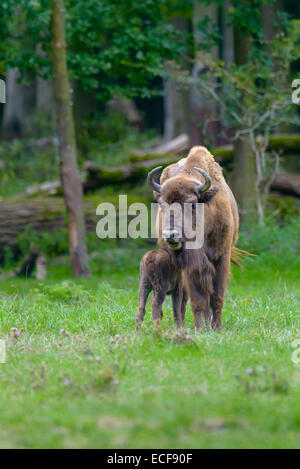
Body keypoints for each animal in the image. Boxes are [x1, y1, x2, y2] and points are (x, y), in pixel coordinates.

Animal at [148, 145, 239, 330]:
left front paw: (217, 328)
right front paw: (199, 329)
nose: (171, 235)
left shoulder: (222, 258)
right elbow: (197, 299)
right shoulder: (191, 266)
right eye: (162, 204)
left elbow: (217, 297)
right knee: (183, 298)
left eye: (192, 204)